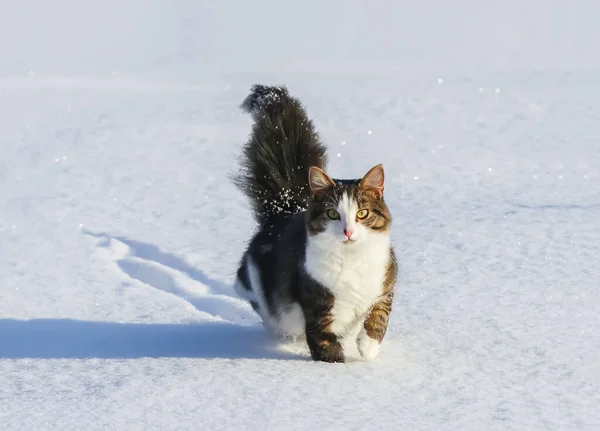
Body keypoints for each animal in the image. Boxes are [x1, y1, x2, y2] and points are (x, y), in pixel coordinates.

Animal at [232, 85, 396, 364]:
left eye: (362, 213)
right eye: (332, 214)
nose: (348, 231)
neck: (352, 261)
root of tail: (285, 208)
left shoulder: (386, 282)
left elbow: (379, 313)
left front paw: (368, 347)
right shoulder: (318, 307)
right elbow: (326, 346)